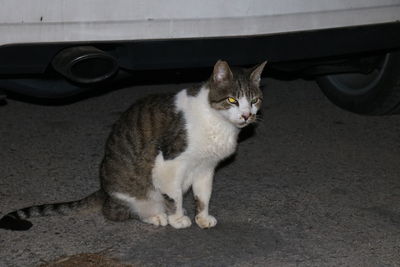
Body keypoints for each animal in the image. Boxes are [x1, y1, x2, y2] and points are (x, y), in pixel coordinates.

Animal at [1, 59, 268, 231]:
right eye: (232, 100)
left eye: (254, 100)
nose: (247, 116)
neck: (216, 121)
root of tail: (104, 190)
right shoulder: (169, 163)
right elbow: (174, 197)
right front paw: (177, 219)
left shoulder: (205, 168)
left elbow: (203, 197)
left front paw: (202, 218)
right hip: (133, 192)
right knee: (117, 212)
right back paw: (155, 216)